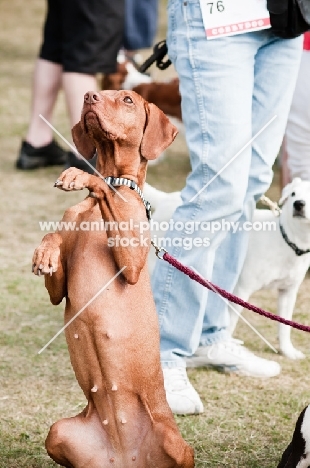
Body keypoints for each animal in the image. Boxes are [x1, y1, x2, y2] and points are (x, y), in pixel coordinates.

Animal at [32, 88, 195, 468]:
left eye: (127, 99)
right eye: (97, 94)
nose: (89, 96)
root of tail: (125, 458)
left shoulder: (131, 265)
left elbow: (102, 185)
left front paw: (80, 175)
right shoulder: (58, 289)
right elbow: (53, 239)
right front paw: (45, 253)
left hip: (176, 444)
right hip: (59, 431)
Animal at [145, 177, 310, 360]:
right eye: (293, 194)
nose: (298, 204)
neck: (290, 241)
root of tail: (167, 198)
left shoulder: (288, 292)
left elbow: (285, 326)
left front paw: (288, 351)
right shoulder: (241, 292)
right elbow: (231, 323)